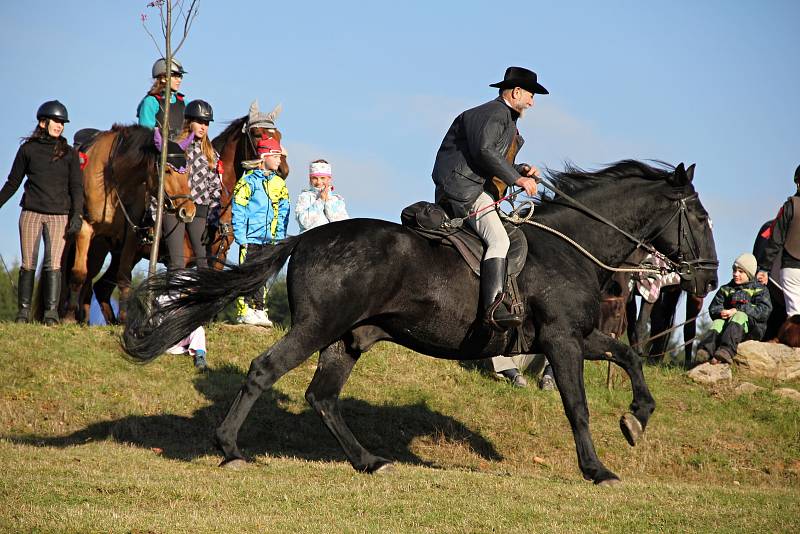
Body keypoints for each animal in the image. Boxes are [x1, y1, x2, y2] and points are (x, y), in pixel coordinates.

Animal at [63, 125, 196, 324]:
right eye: (167, 171)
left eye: (187, 172)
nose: (188, 211)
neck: (112, 181)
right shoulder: (85, 229)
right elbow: (78, 272)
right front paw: (69, 317)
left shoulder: (131, 236)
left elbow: (124, 276)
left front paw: (124, 318)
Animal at [120, 159, 720, 486]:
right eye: (700, 216)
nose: (708, 280)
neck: (573, 247)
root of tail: (309, 238)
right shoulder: (561, 340)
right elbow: (577, 407)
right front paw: (597, 469)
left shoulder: (578, 336)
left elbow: (630, 355)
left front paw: (637, 419)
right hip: (318, 328)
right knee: (264, 371)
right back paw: (230, 450)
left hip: (347, 339)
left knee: (322, 397)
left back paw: (369, 462)